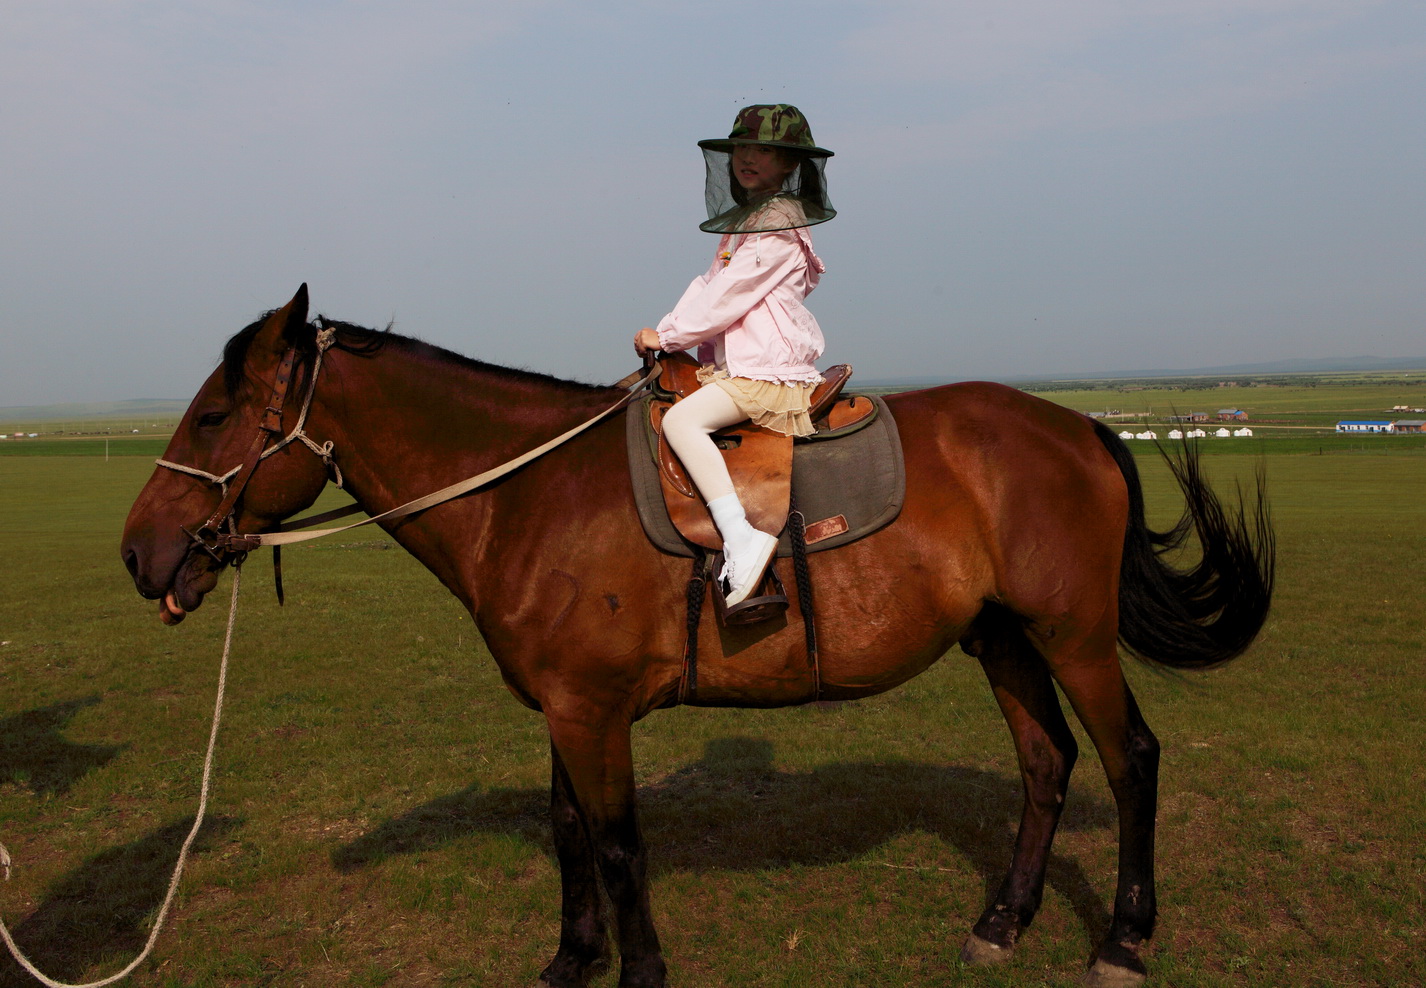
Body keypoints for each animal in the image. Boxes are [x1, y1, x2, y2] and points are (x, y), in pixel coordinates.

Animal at [125, 286, 1271, 986]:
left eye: (216, 415)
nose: (140, 552)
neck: (529, 493)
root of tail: (1076, 426)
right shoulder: (566, 708)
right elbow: (568, 830)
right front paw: (570, 959)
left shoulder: (594, 714)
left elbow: (619, 841)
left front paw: (637, 969)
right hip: (1002, 640)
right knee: (1046, 762)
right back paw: (1002, 921)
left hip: (1072, 634)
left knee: (1129, 759)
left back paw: (1122, 938)